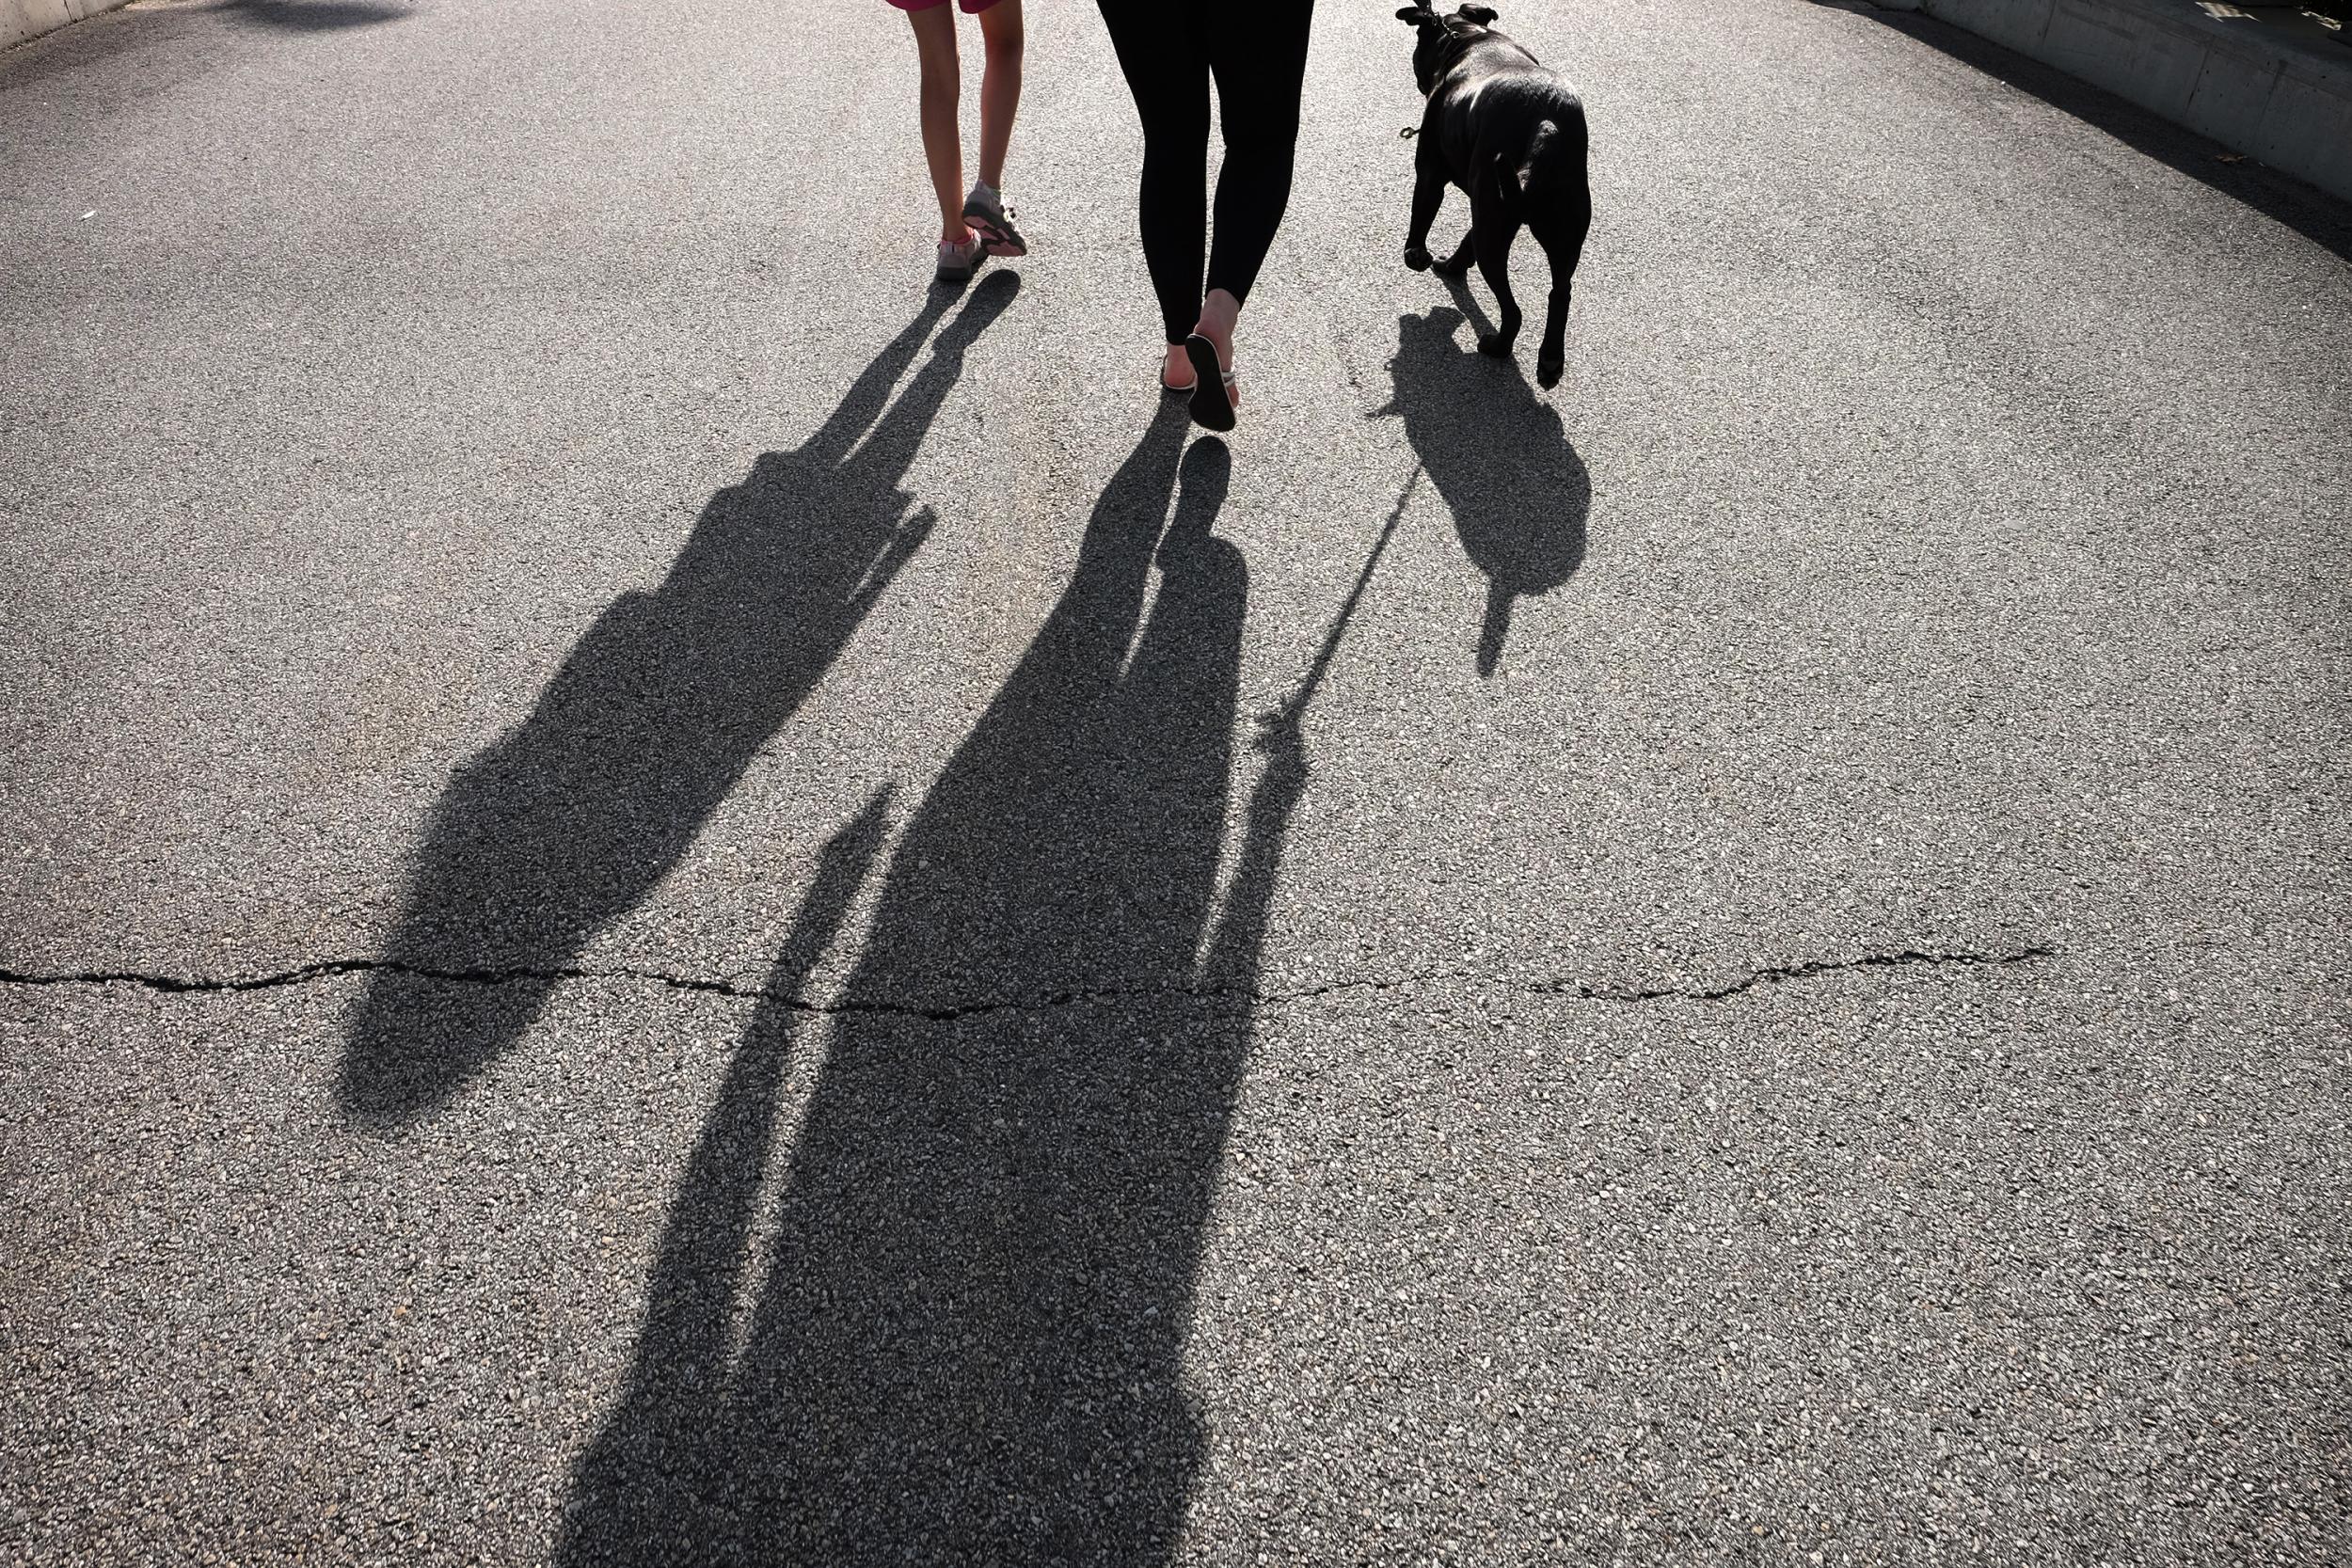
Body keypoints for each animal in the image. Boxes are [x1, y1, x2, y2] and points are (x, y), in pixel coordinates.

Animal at [1402, 4, 1590, 389]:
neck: (1467, 36)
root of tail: (1547, 125)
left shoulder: (1430, 174)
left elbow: (1422, 214)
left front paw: (1416, 255)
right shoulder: (1485, 207)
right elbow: (1466, 242)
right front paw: (1451, 265)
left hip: (1495, 226)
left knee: (1513, 309)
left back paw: (1497, 347)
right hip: (1556, 230)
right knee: (1560, 293)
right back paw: (1550, 361)